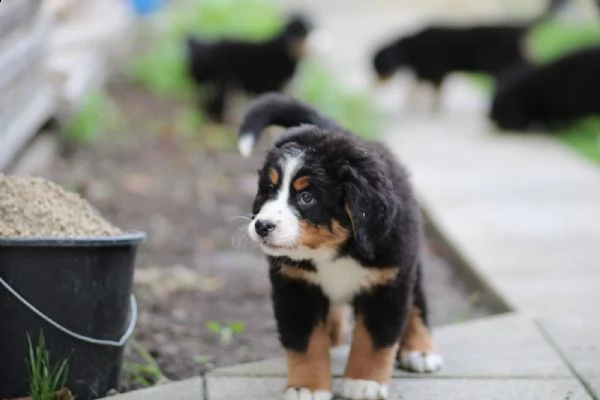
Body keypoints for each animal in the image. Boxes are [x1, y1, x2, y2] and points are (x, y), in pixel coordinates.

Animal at [238, 94, 440, 400]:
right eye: (268, 190)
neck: (336, 250)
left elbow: (375, 339)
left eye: (307, 197)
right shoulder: (296, 287)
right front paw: (307, 387)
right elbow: (306, 342)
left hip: (409, 263)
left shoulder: (388, 282)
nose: (262, 225)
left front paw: (364, 381)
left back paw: (420, 350)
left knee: (417, 303)